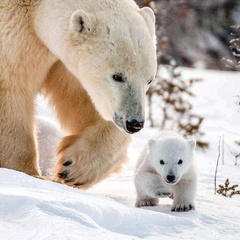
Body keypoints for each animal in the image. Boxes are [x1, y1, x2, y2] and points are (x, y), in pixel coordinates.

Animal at [0, 0, 157, 188]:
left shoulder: (60, 61)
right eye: (118, 76)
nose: (134, 123)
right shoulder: (14, 32)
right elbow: (11, 87)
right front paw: (27, 173)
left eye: (149, 79)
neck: (34, 6)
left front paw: (74, 168)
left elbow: (80, 99)